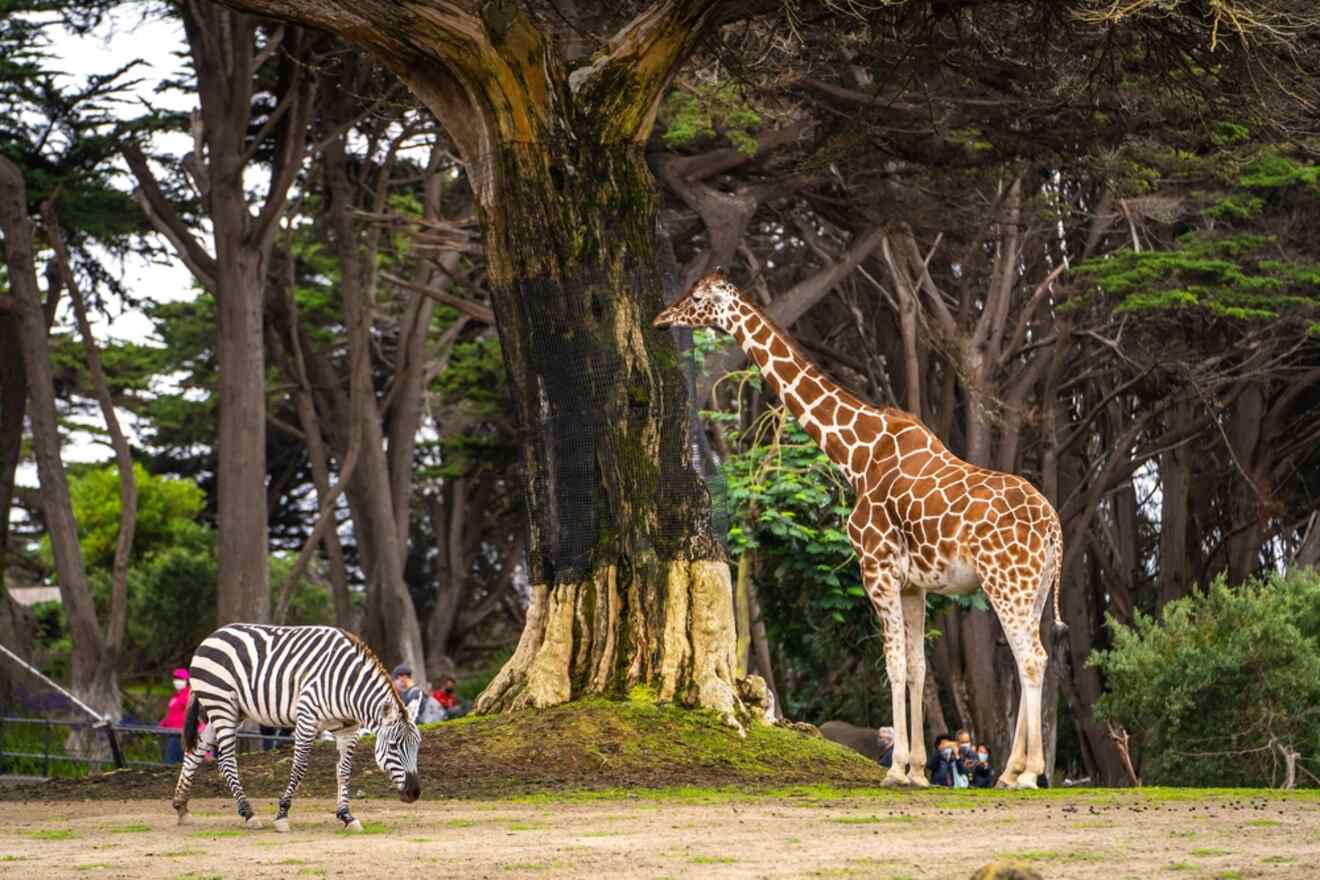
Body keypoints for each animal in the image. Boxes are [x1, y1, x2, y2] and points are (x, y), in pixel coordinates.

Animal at [168, 625, 417, 833]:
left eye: (417, 747)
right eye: (393, 747)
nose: (414, 793)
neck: (348, 686)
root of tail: (211, 636)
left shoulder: (348, 729)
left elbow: (344, 770)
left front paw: (347, 816)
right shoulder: (307, 718)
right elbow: (299, 767)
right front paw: (282, 815)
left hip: (228, 711)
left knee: (195, 751)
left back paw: (182, 807)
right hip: (221, 705)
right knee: (227, 759)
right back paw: (248, 814)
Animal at [654, 271, 1066, 786]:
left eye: (697, 297)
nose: (660, 317)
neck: (857, 455)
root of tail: (1054, 527)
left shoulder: (876, 568)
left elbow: (893, 663)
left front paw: (896, 770)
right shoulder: (913, 584)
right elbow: (917, 666)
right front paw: (917, 771)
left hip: (1007, 581)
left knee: (1031, 657)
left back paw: (1027, 775)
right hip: (1034, 586)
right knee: (1030, 657)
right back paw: (1012, 772)